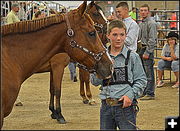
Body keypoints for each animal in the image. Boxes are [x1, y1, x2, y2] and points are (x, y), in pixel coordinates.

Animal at [0, 1, 112, 129]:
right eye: (92, 33)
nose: (109, 65)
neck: (11, 57)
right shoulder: (58, 67)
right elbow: (59, 90)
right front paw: (60, 114)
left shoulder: (53, 69)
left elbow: (52, 89)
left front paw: (53, 112)